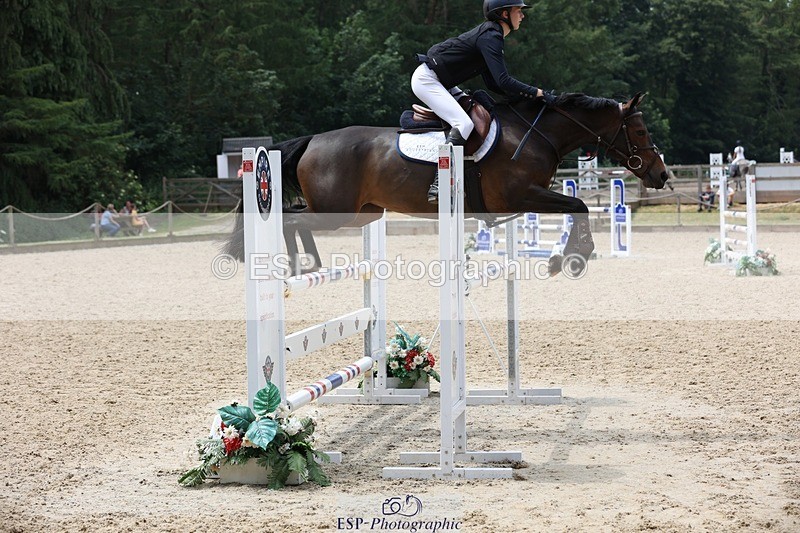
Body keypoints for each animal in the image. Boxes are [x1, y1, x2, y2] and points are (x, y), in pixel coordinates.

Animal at [225, 92, 669, 275]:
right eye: (641, 131)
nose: (662, 174)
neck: (536, 134)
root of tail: (314, 139)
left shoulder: (526, 199)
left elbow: (575, 208)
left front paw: (566, 257)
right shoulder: (522, 194)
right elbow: (579, 206)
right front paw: (572, 258)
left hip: (361, 215)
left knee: (294, 218)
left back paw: (309, 264)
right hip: (336, 212)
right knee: (290, 219)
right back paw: (298, 265)